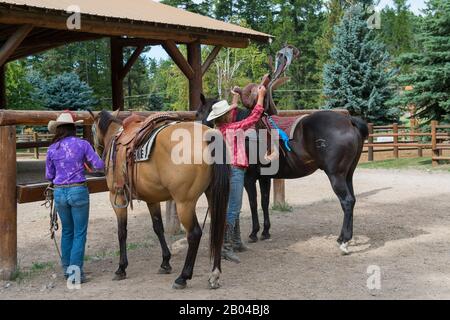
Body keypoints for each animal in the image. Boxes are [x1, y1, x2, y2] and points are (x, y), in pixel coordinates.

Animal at [195, 90, 368, 255]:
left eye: (198, 113)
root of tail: (348, 121)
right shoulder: (264, 178)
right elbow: (264, 202)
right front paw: (265, 232)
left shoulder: (249, 179)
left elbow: (253, 203)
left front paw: (254, 233)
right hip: (347, 176)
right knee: (352, 200)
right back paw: (343, 237)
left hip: (336, 176)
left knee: (347, 201)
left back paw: (344, 241)